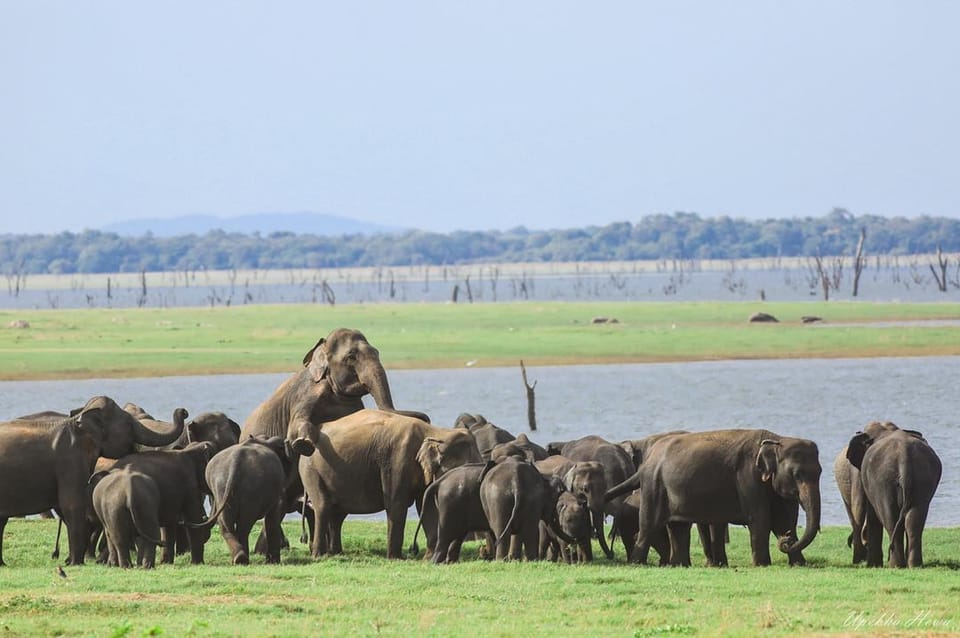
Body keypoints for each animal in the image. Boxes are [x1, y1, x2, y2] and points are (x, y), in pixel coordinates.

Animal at [0, 398, 184, 568]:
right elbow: (72, 505)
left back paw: (3, 564)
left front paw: (71, 561)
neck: (77, 421)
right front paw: (76, 563)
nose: (183, 411)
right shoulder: (70, 460)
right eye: (128, 424)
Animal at [202, 436, 292, 564]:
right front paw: (274, 562)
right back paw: (242, 559)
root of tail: (235, 463)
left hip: (220, 487)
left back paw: (238, 559)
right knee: (244, 526)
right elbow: (273, 517)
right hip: (251, 492)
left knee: (226, 525)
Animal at [298, 410, 480, 560]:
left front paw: (427, 558)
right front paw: (396, 559)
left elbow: (426, 506)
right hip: (310, 470)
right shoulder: (397, 461)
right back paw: (319, 556)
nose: (414, 549)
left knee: (337, 514)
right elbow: (396, 504)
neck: (436, 431)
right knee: (323, 507)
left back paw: (336, 553)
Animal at [608, 432, 824, 568]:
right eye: (797, 475)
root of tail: (647, 462)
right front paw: (763, 565)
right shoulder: (748, 478)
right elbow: (760, 518)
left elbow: (784, 519)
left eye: (820, 472)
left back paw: (679, 565)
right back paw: (638, 563)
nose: (786, 539)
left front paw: (799, 563)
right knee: (649, 524)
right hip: (654, 484)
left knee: (678, 526)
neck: (777, 439)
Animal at [844, 422, 940, 568]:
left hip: (883, 481)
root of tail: (904, 456)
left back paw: (895, 565)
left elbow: (872, 514)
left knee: (890, 518)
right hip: (923, 478)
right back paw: (914, 565)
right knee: (914, 521)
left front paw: (873, 565)